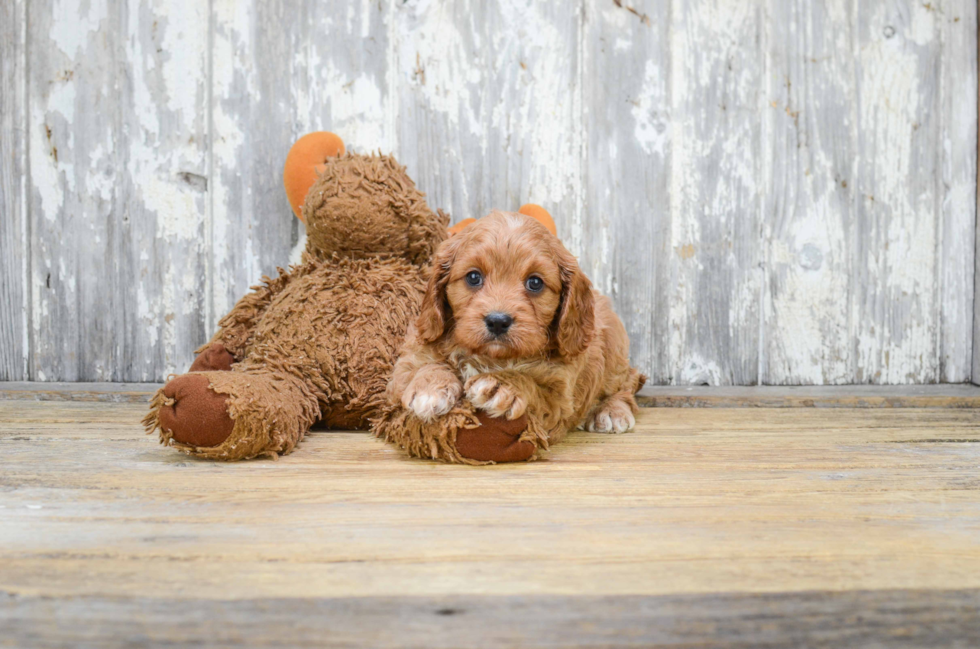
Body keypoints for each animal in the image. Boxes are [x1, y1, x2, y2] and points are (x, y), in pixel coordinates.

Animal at [386, 210, 648, 442]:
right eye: (473, 277)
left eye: (535, 282)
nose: (497, 321)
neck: (493, 358)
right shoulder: (408, 362)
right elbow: (426, 365)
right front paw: (429, 387)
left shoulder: (559, 397)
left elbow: (532, 385)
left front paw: (501, 384)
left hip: (613, 347)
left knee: (628, 382)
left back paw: (611, 410)